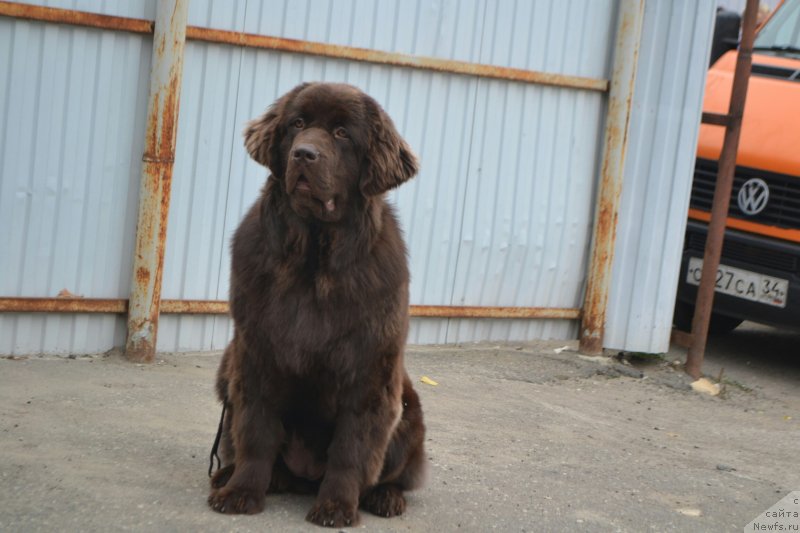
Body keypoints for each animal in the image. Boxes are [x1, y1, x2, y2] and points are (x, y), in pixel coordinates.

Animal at [209, 83, 428, 528]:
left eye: (343, 134)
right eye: (297, 124)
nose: (304, 154)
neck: (313, 257)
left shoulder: (368, 370)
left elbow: (351, 448)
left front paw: (336, 506)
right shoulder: (256, 354)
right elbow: (255, 432)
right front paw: (241, 492)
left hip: (409, 407)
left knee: (396, 473)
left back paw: (385, 497)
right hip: (226, 366)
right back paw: (230, 475)